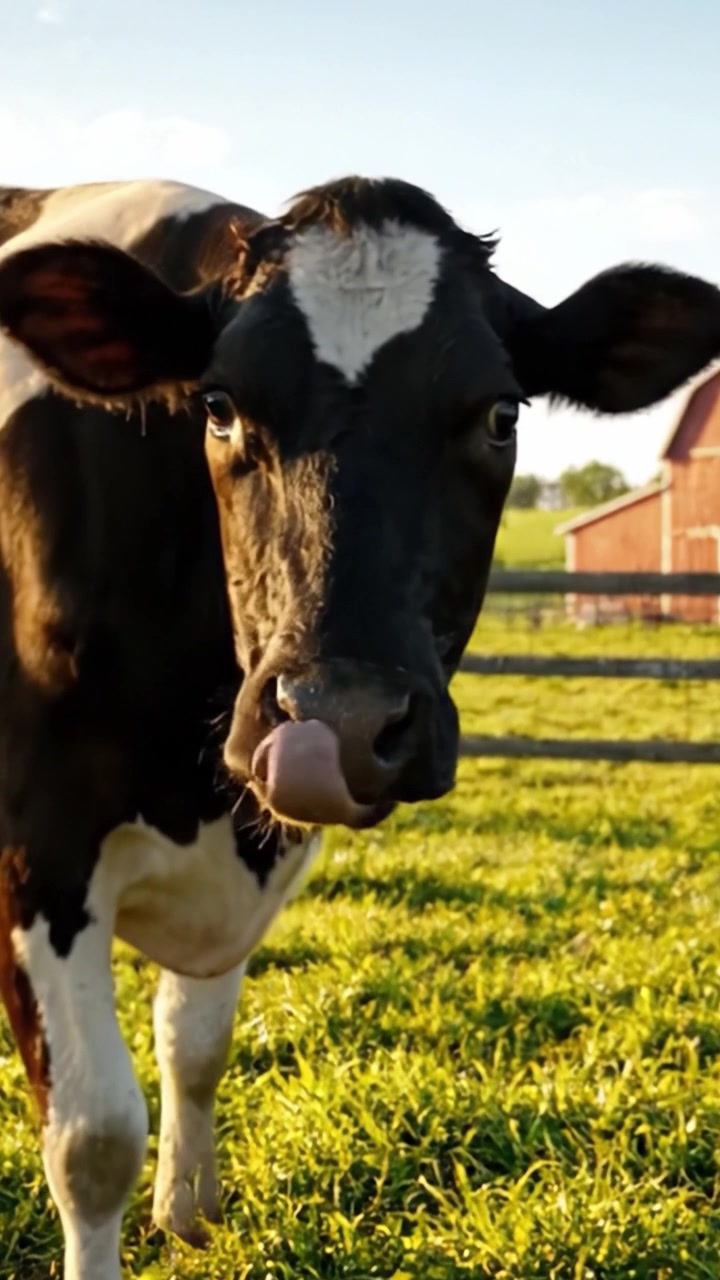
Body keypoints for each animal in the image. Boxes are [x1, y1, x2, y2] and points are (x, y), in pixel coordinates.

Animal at [0, 174, 719, 1280]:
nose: (339, 720)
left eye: (500, 413)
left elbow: (194, 1043)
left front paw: (190, 1211)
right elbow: (92, 1136)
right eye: (219, 406)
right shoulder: (37, 843)